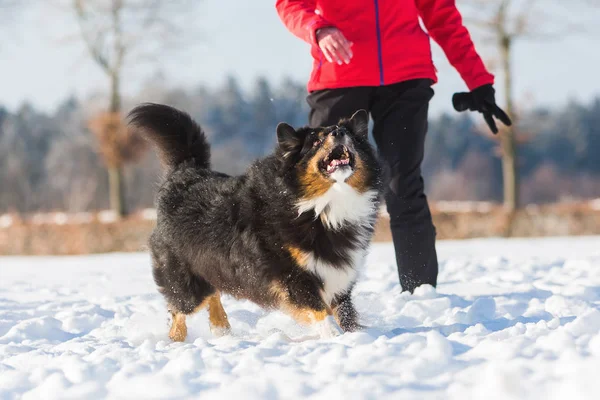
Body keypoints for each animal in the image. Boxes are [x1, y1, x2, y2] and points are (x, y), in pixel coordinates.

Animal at [127, 102, 382, 340]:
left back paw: (222, 329)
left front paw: (355, 335)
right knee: (181, 309)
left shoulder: (338, 275)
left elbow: (344, 312)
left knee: (211, 294)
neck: (319, 207)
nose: (338, 133)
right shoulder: (292, 275)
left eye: (346, 133)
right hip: (185, 280)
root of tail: (185, 171)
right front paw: (335, 337)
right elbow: (319, 311)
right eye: (316, 141)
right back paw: (177, 339)